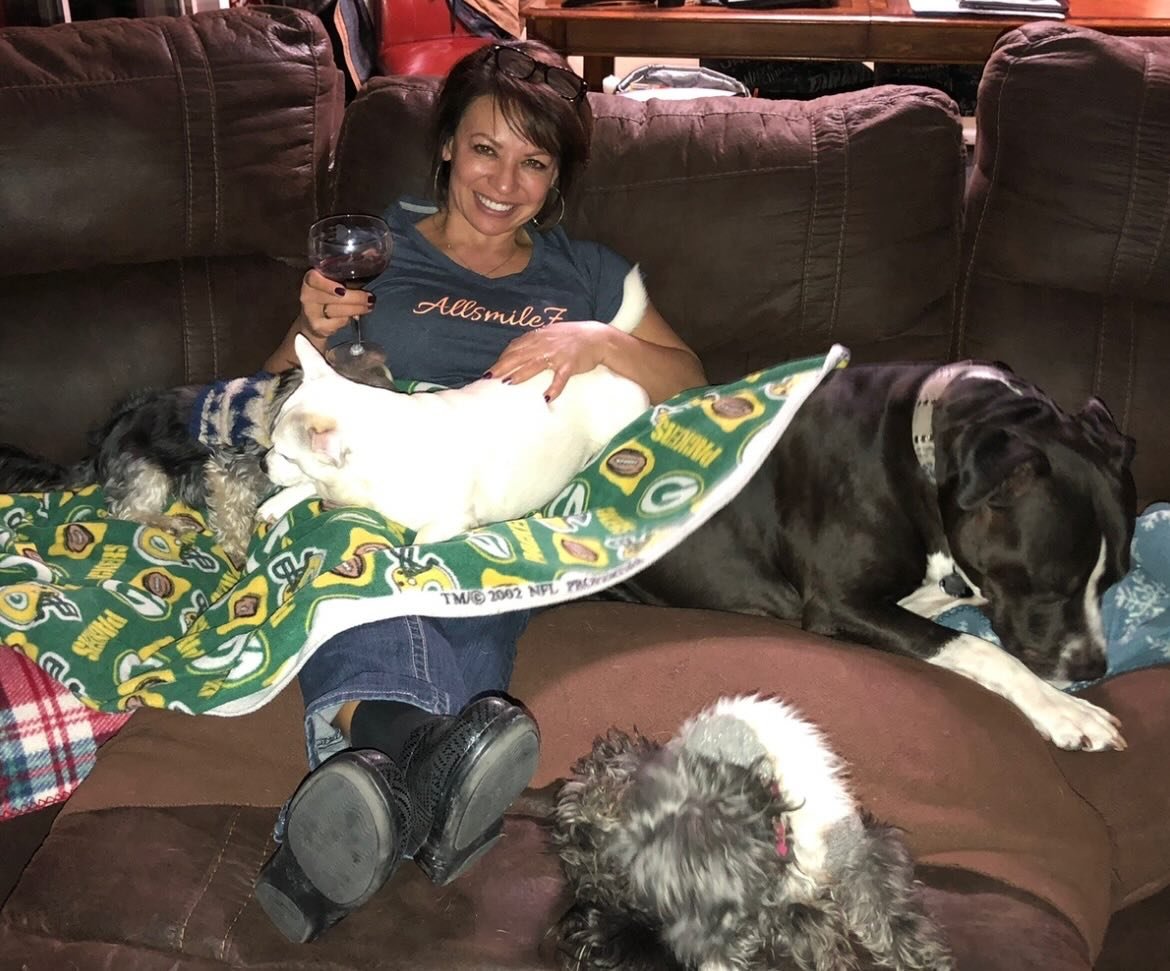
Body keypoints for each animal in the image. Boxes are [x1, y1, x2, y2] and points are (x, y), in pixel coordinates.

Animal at [258, 267, 652, 544]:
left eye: (287, 454)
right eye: (271, 444)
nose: (262, 464)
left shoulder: (450, 519)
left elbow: (419, 540)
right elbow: (310, 485)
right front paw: (276, 504)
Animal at [607, 363, 1136, 752]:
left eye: (1116, 578)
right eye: (1048, 586)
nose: (1092, 669)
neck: (922, 451)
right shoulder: (839, 603)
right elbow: (978, 647)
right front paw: (1063, 709)